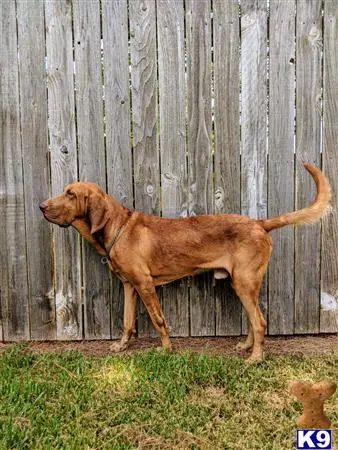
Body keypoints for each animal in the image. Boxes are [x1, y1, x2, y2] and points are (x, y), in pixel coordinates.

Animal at [39, 163, 330, 364]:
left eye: (70, 194)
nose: (41, 206)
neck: (117, 227)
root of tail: (259, 224)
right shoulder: (129, 286)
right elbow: (127, 321)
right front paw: (122, 346)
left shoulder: (145, 285)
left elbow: (158, 319)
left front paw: (166, 350)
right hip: (244, 285)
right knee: (254, 319)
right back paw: (247, 347)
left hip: (245, 283)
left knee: (259, 322)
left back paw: (256, 358)